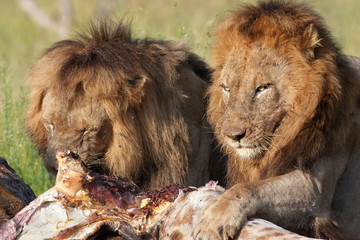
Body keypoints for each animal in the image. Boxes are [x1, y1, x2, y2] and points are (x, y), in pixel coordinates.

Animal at [193, 0, 360, 240]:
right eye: (226, 88)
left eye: (263, 88)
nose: (233, 136)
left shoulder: (317, 190)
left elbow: (248, 188)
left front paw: (214, 219)